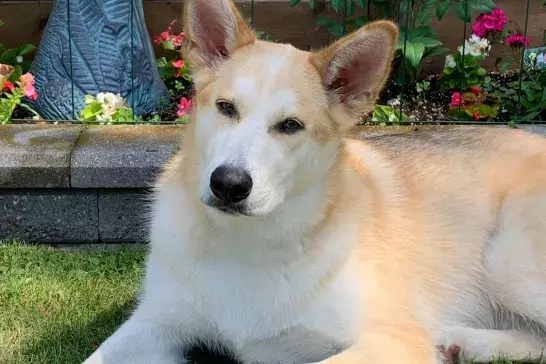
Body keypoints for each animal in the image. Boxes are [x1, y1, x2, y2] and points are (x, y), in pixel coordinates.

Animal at [82, 0, 544, 364]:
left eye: (290, 125)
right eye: (226, 108)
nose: (228, 184)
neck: (246, 241)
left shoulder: (393, 339)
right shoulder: (156, 323)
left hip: (506, 260)